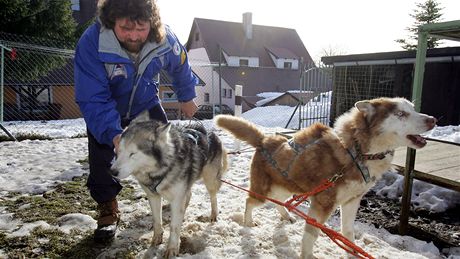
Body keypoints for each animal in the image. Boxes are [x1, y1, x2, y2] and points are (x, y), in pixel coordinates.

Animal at [110, 114, 227, 259]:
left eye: (133, 154)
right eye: (119, 151)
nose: (112, 171)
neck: (159, 170)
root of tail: (210, 131)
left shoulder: (177, 199)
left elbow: (174, 227)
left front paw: (172, 248)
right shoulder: (153, 196)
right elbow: (157, 220)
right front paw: (156, 239)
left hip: (210, 179)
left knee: (213, 196)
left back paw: (213, 214)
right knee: (189, 195)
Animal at [214, 98, 436, 259]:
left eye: (413, 109)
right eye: (400, 114)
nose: (433, 119)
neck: (357, 152)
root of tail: (265, 139)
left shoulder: (351, 201)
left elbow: (347, 232)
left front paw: (351, 251)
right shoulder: (323, 203)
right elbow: (311, 234)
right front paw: (307, 255)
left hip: (285, 187)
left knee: (279, 201)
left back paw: (286, 215)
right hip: (264, 191)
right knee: (249, 201)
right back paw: (248, 221)